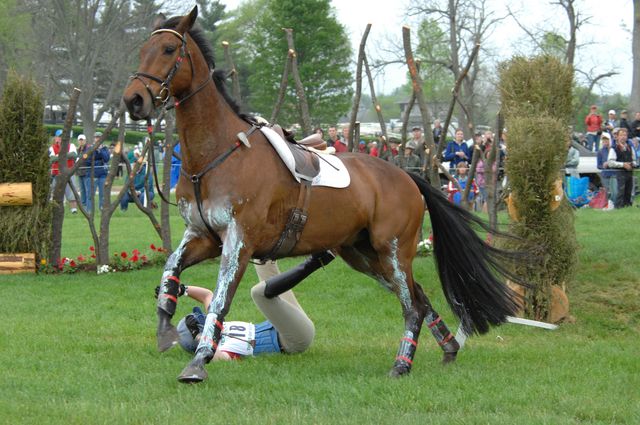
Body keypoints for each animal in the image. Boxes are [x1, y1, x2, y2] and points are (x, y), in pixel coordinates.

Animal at [122, 5, 524, 384]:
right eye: (142, 50)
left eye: (169, 49)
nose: (134, 100)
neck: (217, 154)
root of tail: (407, 177)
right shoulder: (203, 236)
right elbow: (171, 269)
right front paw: (166, 328)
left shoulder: (238, 242)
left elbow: (220, 300)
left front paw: (198, 361)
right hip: (362, 254)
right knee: (419, 297)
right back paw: (448, 349)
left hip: (392, 250)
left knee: (411, 306)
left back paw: (401, 365)